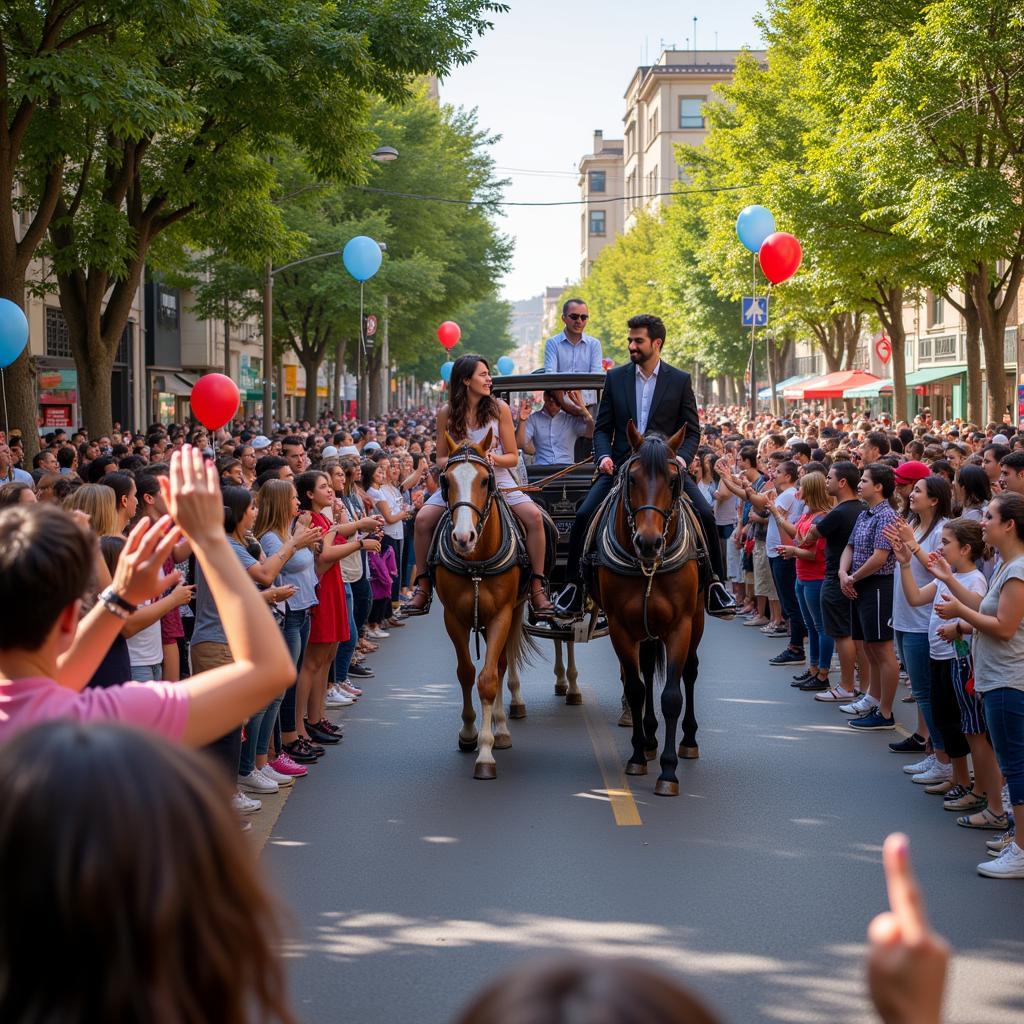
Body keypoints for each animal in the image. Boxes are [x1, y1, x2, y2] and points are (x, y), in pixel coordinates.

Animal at [434, 430, 532, 774]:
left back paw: (501, 729)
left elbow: (489, 678)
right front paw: (468, 733)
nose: (464, 538)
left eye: (485, 480)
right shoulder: (453, 618)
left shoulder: (502, 614)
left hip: (515, 610)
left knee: (501, 665)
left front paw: (487, 752)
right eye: (445, 480)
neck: (476, 562)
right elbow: (465, 672)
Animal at [589, 419, 708, 794]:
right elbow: (636, 688)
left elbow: (671, 695)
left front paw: (668, 772)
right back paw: (651, 740)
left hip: (697, 619)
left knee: (690, 672)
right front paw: (639, 755)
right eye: (631, 479)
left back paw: (688, 741)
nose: (649, 542)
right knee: (643, 670)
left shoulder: (680, 625)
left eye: (673, 480)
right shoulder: (620, 627)